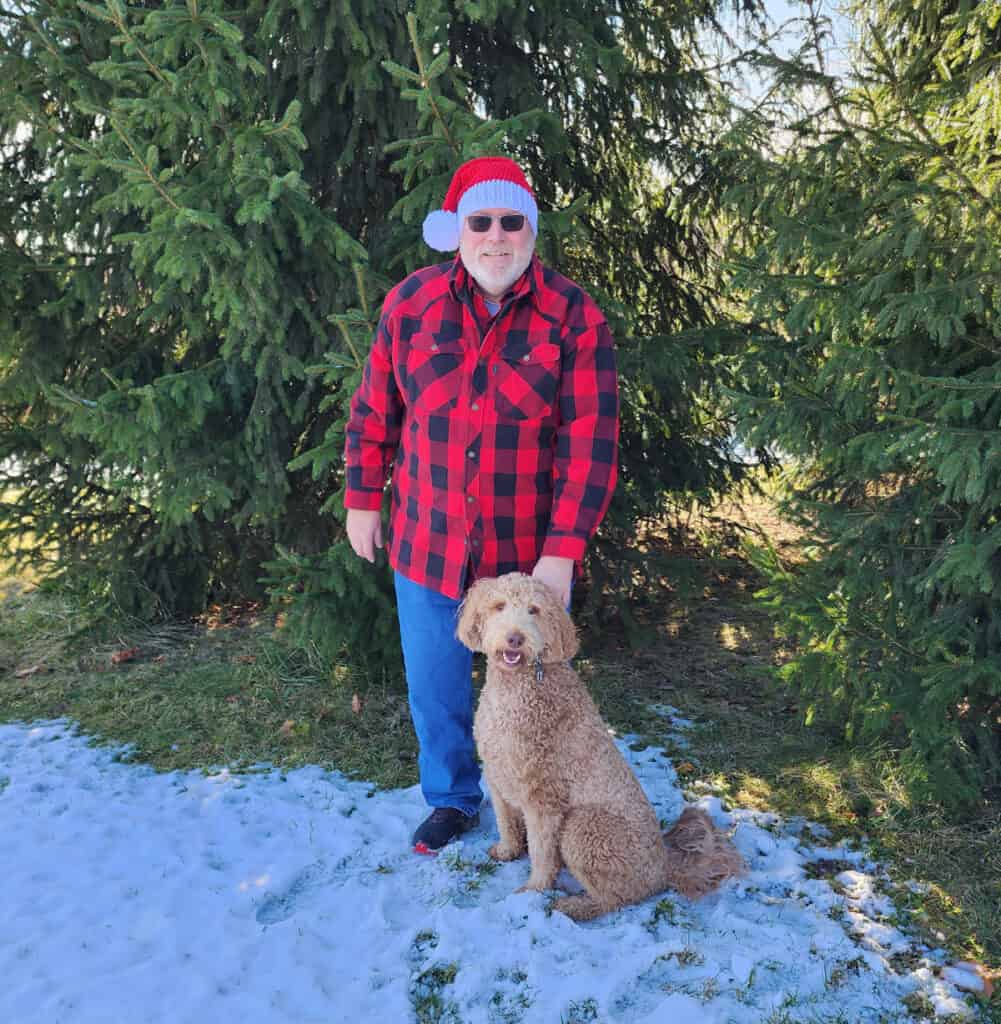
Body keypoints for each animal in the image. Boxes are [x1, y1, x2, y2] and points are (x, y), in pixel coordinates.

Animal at [454, 573, 741, 925]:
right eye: (499, 606)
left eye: (534, 610)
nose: (515, 639)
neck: (519, 686)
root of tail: (664, 867)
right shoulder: (497, 778)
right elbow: (506, 822)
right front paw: (508, 850)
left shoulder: (544, 800)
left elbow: (542, 851)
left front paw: (533, 890)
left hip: (584, 827)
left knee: (615, 899)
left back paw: (574, 907)